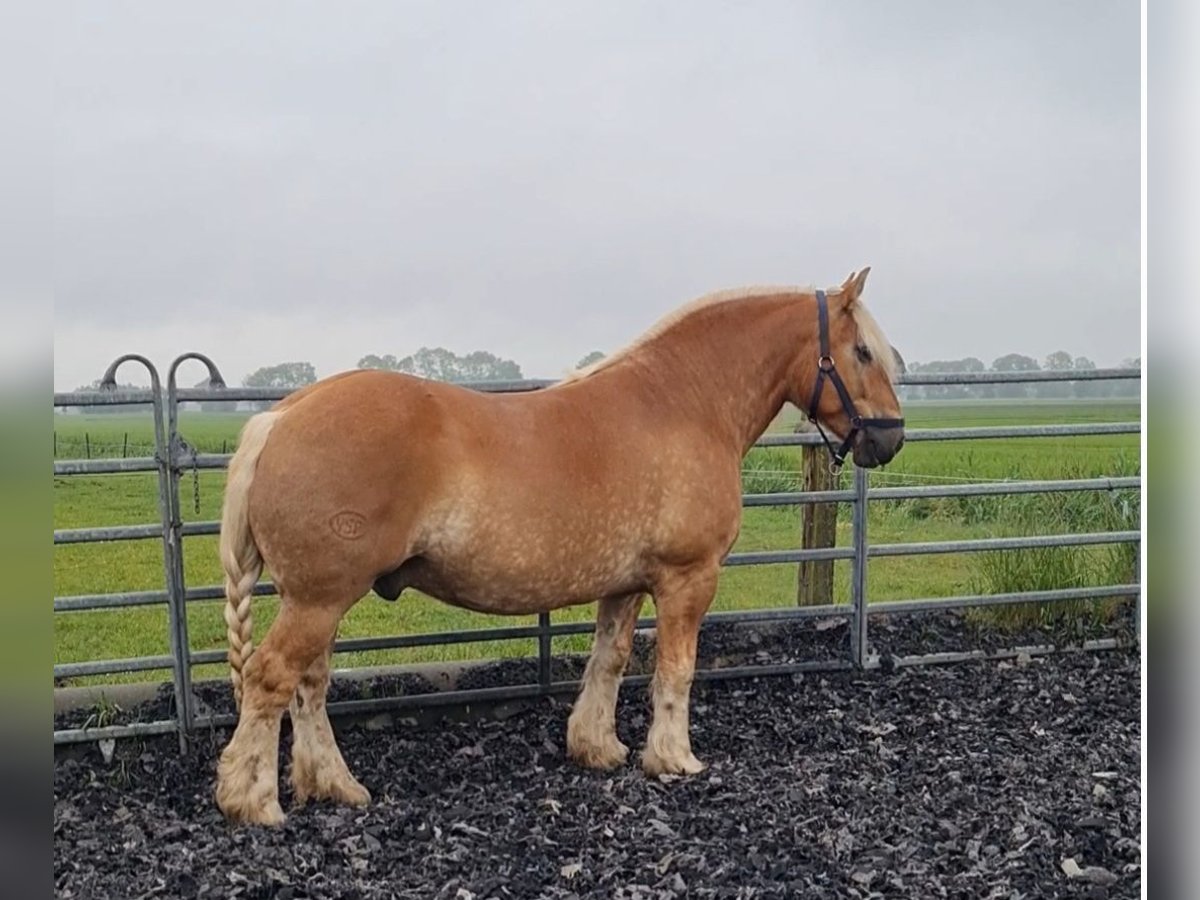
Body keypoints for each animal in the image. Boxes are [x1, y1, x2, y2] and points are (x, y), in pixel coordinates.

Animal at [213, 267, 902, 825]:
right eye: (863, 351)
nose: (891, 439)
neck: (682, 401)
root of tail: (278, 418)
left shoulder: (625, 584)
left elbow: (610, 660)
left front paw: (599, 748)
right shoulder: (688, 576)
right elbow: (675, 669)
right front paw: (674, 758)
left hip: (318, 601)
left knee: (309, 685)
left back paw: (334, 786)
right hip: (319, 599)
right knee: (272, 678)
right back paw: (254, 802)